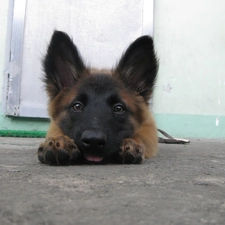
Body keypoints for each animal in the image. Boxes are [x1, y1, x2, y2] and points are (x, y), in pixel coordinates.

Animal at [37, 30, 158, 164]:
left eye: (119, 108)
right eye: (77, 106)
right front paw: (60, 141)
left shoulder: (148, 129)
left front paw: (131, 143)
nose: (93, 141)